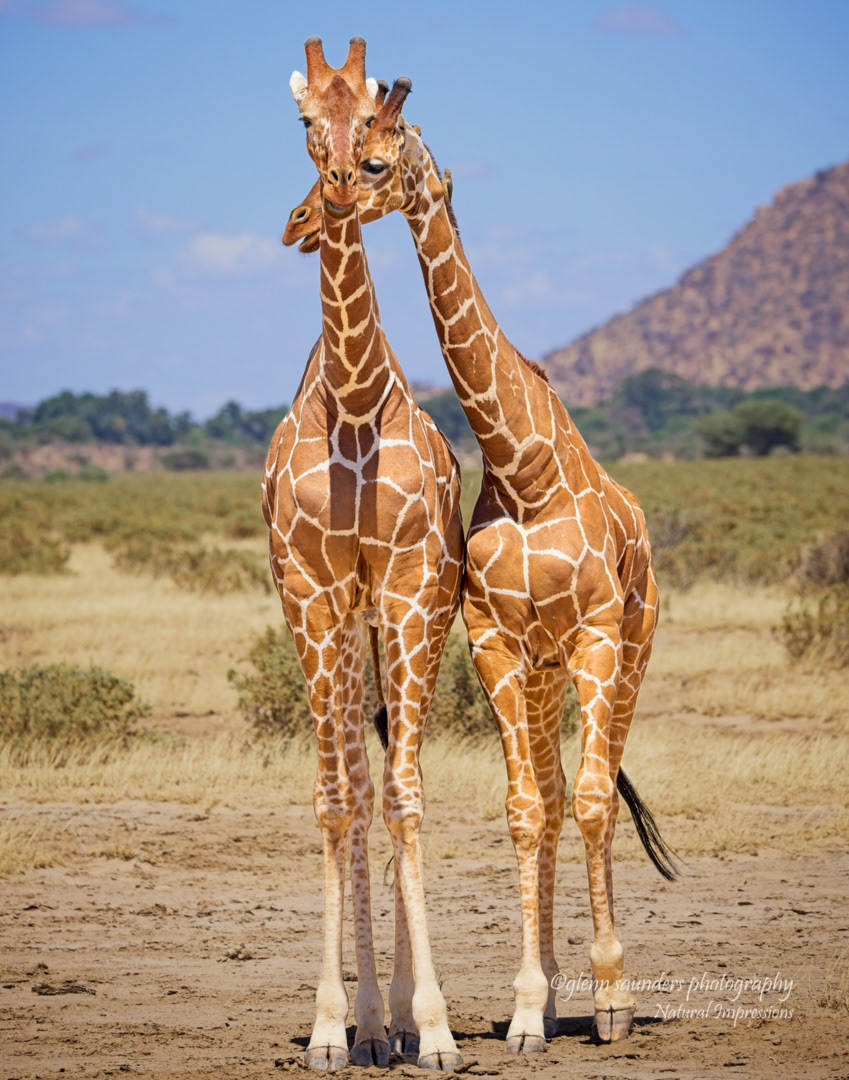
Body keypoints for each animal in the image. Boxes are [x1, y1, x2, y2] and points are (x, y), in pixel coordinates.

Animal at [283, 96, 677, 1053]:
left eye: (378, 162)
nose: (309, 217)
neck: (523, 465)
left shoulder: (596, 635)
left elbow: (592, 800)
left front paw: (607, 998)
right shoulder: (496, 641)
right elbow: (525, 807)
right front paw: (531, 1009)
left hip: (630, 651)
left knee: (596, 786)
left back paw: (606, 998)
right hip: (541, 674)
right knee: (548, 794)